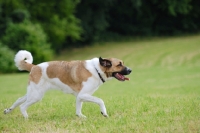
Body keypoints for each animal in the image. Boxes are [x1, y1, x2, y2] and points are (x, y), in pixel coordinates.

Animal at [3, 50, 131, 118]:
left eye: (122, 63)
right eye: (119, 64)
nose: (131, 70)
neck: (97, 69)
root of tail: (34, 67)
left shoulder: (80, 96)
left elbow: (78, 110)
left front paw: (81, 117)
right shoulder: (83, 95)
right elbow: (100, 100)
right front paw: (104, 113)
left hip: (33, 93)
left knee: (19, 100)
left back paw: (8, 110)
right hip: (36, 95)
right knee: (22, 106)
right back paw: (26, 118)